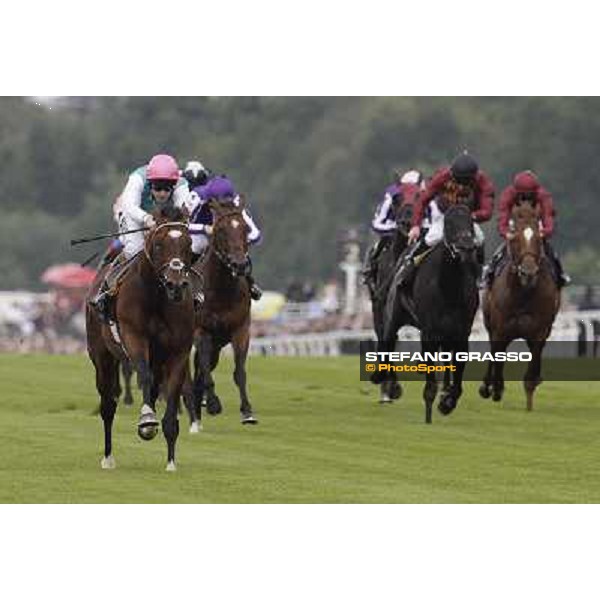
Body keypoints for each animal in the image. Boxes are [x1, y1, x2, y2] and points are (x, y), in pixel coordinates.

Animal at [86, 206, 193, 474]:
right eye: (158, 244)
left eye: (188, 244)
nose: (176, 284)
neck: (157, 297)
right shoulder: (134, 337)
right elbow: (143, 375)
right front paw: (146, 420)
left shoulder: (179, 352)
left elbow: (172, 394)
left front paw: (171, 461)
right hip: (101, 356)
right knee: (107, 405)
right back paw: (108, 457)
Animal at [185, 198, 255, 432]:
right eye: (221, 230)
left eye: (245, 229)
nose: (240, 265)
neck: (221, 290)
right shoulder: (201, 331)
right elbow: (205, 372)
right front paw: (214, 403)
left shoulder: (241, 330)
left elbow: (240, 372)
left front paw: (247, 411)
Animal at [478, 204, 564, 410]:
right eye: (515, 238)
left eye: (539, 239)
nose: (528, 271)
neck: (523, 295)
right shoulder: (500, 330)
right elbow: (497, 356)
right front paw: (495, 388)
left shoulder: (539, 332)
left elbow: (532, 366)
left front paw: (529, 401)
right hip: (490, 324)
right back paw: (487, 386)